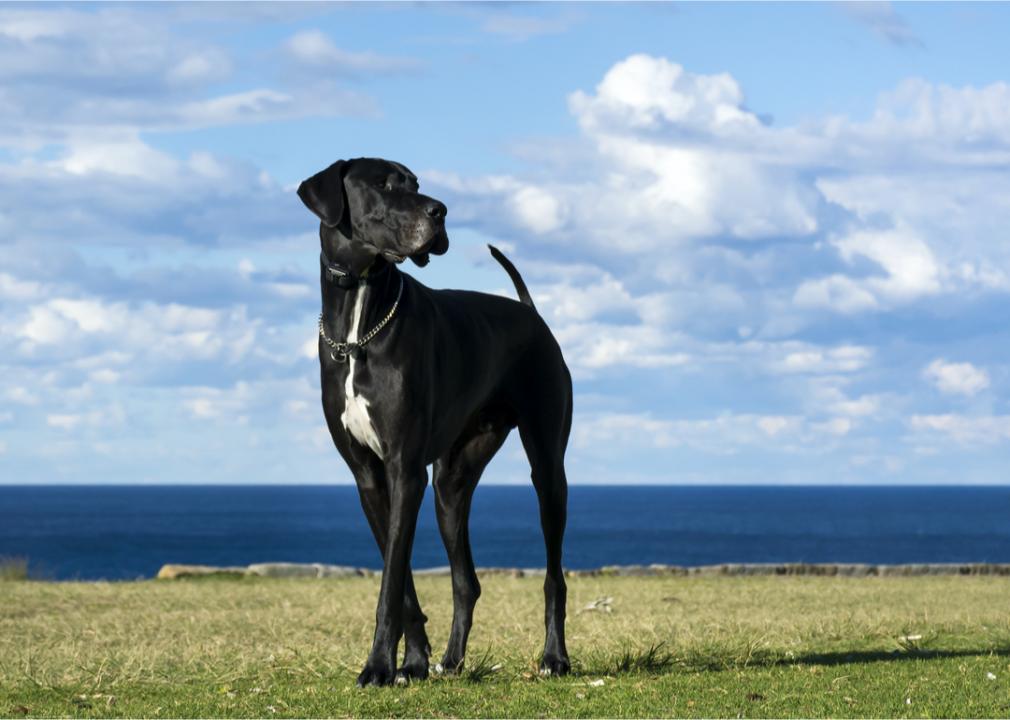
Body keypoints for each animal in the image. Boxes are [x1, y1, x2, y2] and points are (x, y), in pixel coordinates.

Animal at [294, 155, 573, 686]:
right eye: (384, 185)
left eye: (417, 183)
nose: (440, 211)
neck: (359, 319)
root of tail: (530, 313)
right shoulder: (371, 477)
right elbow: (399, 579)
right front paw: (413, 663)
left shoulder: (405, 470)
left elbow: (390, 582)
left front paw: (379, 666)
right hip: (451, 483)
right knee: (466, 581)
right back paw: (452, 661)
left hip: (547, 468)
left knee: (554, 576)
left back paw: (554, 658)